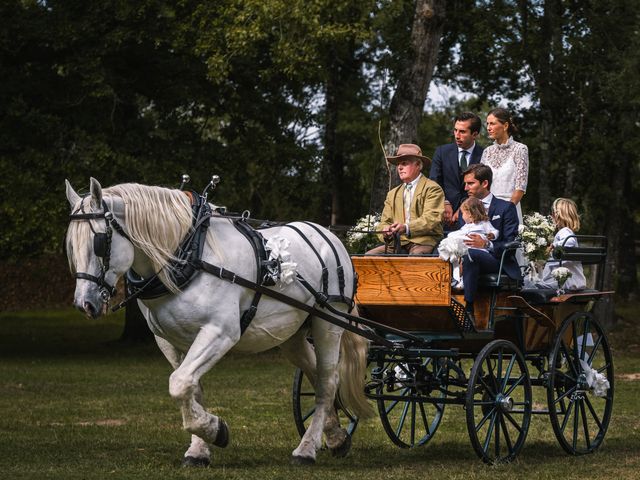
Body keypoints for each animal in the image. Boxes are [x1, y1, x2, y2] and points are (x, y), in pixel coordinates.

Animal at [65, 178, 372, 466]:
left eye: (99, 243)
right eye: (71, 246)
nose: (84, 304)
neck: (190, 253)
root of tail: (329, 235)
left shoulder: (220, 332)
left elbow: (179, 383)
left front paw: (216, 430)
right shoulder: (168, 340)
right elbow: (190, 387)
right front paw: (200, 448)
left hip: (329, 323)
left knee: (328, 381)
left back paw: (306, 449)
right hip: (292, 334)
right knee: (315, 374)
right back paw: (335, 437)